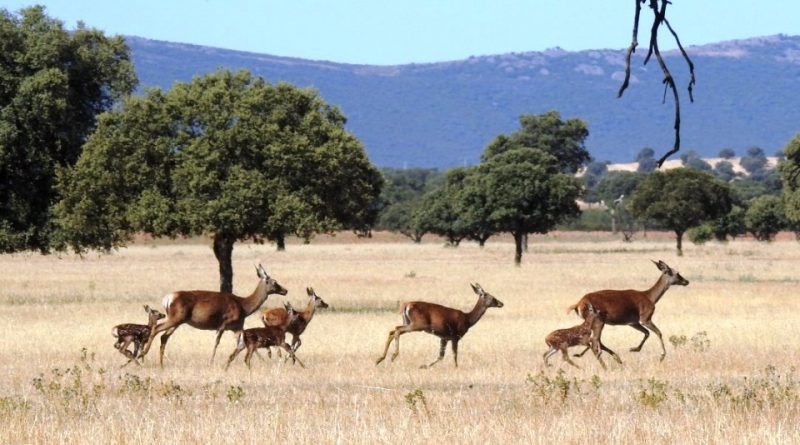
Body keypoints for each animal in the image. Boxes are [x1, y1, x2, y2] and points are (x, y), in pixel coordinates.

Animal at [141, 264, 288, 364]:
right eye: (274, 282)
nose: (285, 290)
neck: (243, 306)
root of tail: (167, 299)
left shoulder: (236, 327)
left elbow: (243, 342)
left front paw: (262, 360)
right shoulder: (223, 323)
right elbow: (217, 342)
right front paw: (211, 361)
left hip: (177, 320)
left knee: (164, 337)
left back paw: (160, 363)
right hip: (176, 318)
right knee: (156, 328)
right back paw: (143, 353)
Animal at [564, 260, 692, 360]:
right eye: (676, 272)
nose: (686, 281)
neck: (649, 297)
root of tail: (579, 303)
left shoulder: (632, 323)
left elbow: (647, 333)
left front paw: (634, 349)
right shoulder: (645, 318)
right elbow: (658, 332)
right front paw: (662, 355)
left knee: (593, 339)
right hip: (598, 321)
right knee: (595, 340)